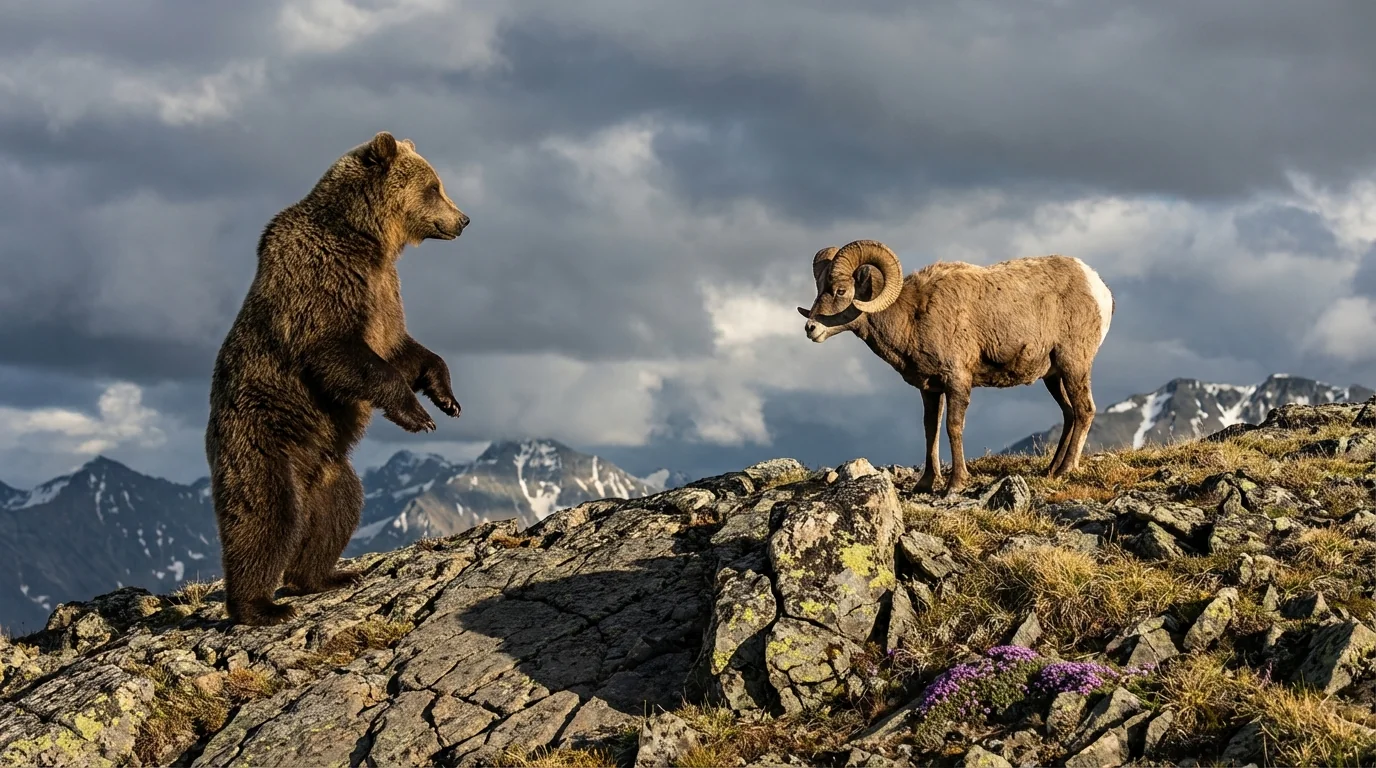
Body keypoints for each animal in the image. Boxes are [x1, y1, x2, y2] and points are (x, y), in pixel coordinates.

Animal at [206, 131, 469, 626]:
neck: (367, 238)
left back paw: (326, 576)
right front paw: (417, 415)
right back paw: (259, 605)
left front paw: (446, 398)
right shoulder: (322, 279)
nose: (463, 219)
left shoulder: (383, 290)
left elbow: (401, 348)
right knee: (265, 516)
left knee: (339, 509)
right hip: (261, 438)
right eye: (434, 187)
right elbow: (336, 350)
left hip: (330, 467)